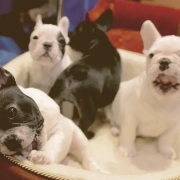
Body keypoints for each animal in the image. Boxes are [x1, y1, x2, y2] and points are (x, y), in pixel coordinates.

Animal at [48, 9, 121, 139]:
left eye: (76, 31)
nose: (69, 35)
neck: (99, 41)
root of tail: (74, 72)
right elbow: (110, 111)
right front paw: (114, 127)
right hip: (88, 110)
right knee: (81, 128)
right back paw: (89, 135)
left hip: (54, 96)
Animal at [110, 20, 180, 160]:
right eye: (151, 55)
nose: (164, 61)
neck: (163, 101)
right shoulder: (131, 118)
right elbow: (129, 134)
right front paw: (127, 150)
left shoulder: (173, 125)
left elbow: (166, 139)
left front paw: (166, 151)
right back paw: (115, 130)